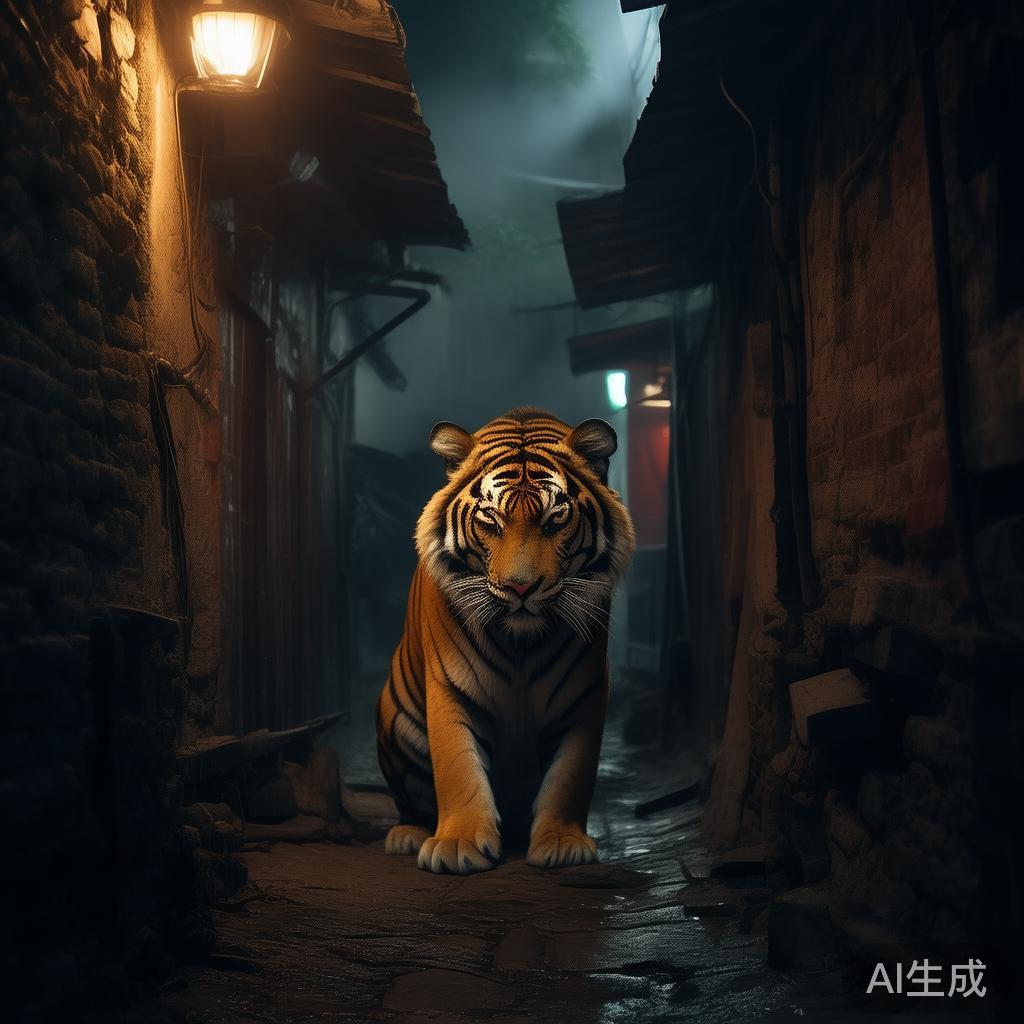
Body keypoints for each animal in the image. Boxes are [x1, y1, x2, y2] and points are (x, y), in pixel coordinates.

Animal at [375, 407, 635, 874]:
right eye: (491, 520)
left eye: (555, 519)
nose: (521, 587)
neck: (521, 646)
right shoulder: (449, 688)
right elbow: (457, 766)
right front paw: (457, 844)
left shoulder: (584, 695)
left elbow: (570, 774)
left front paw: (562, 844)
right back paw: (407, 834)